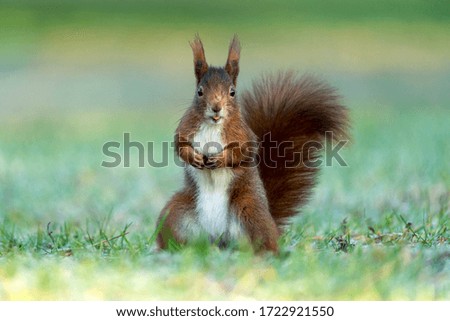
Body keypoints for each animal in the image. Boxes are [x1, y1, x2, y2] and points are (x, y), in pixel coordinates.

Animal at [156, 35, 350, 252]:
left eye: (232, 92)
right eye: (199, 92)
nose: (216, 108)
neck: (213, 125)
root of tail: (218, 239)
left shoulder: (244, 136)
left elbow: (242, 152)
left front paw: (220, 158)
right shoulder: (185, 130)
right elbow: (180, 147)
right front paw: (194, 157)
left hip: (250, 211)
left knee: (263, 242)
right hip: (175, 215)